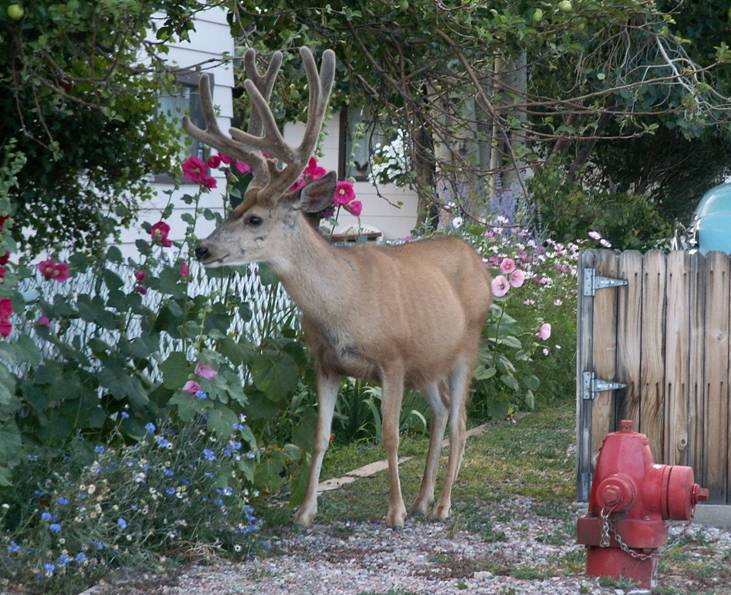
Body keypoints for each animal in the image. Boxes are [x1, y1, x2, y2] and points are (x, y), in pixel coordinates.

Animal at [184, 47, 492, 529]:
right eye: (234, 208)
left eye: (254, 219)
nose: (202, 248)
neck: (343, 304)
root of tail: (478, 259)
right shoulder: (326, 363)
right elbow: (320, 436)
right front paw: (305, 511)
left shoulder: (393, 358)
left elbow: (390, 436)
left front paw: (394, 512)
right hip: (428, 359)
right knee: (442, 410)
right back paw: (424, 499)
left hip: (467, 345)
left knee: (460, 420)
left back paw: (441, 504)